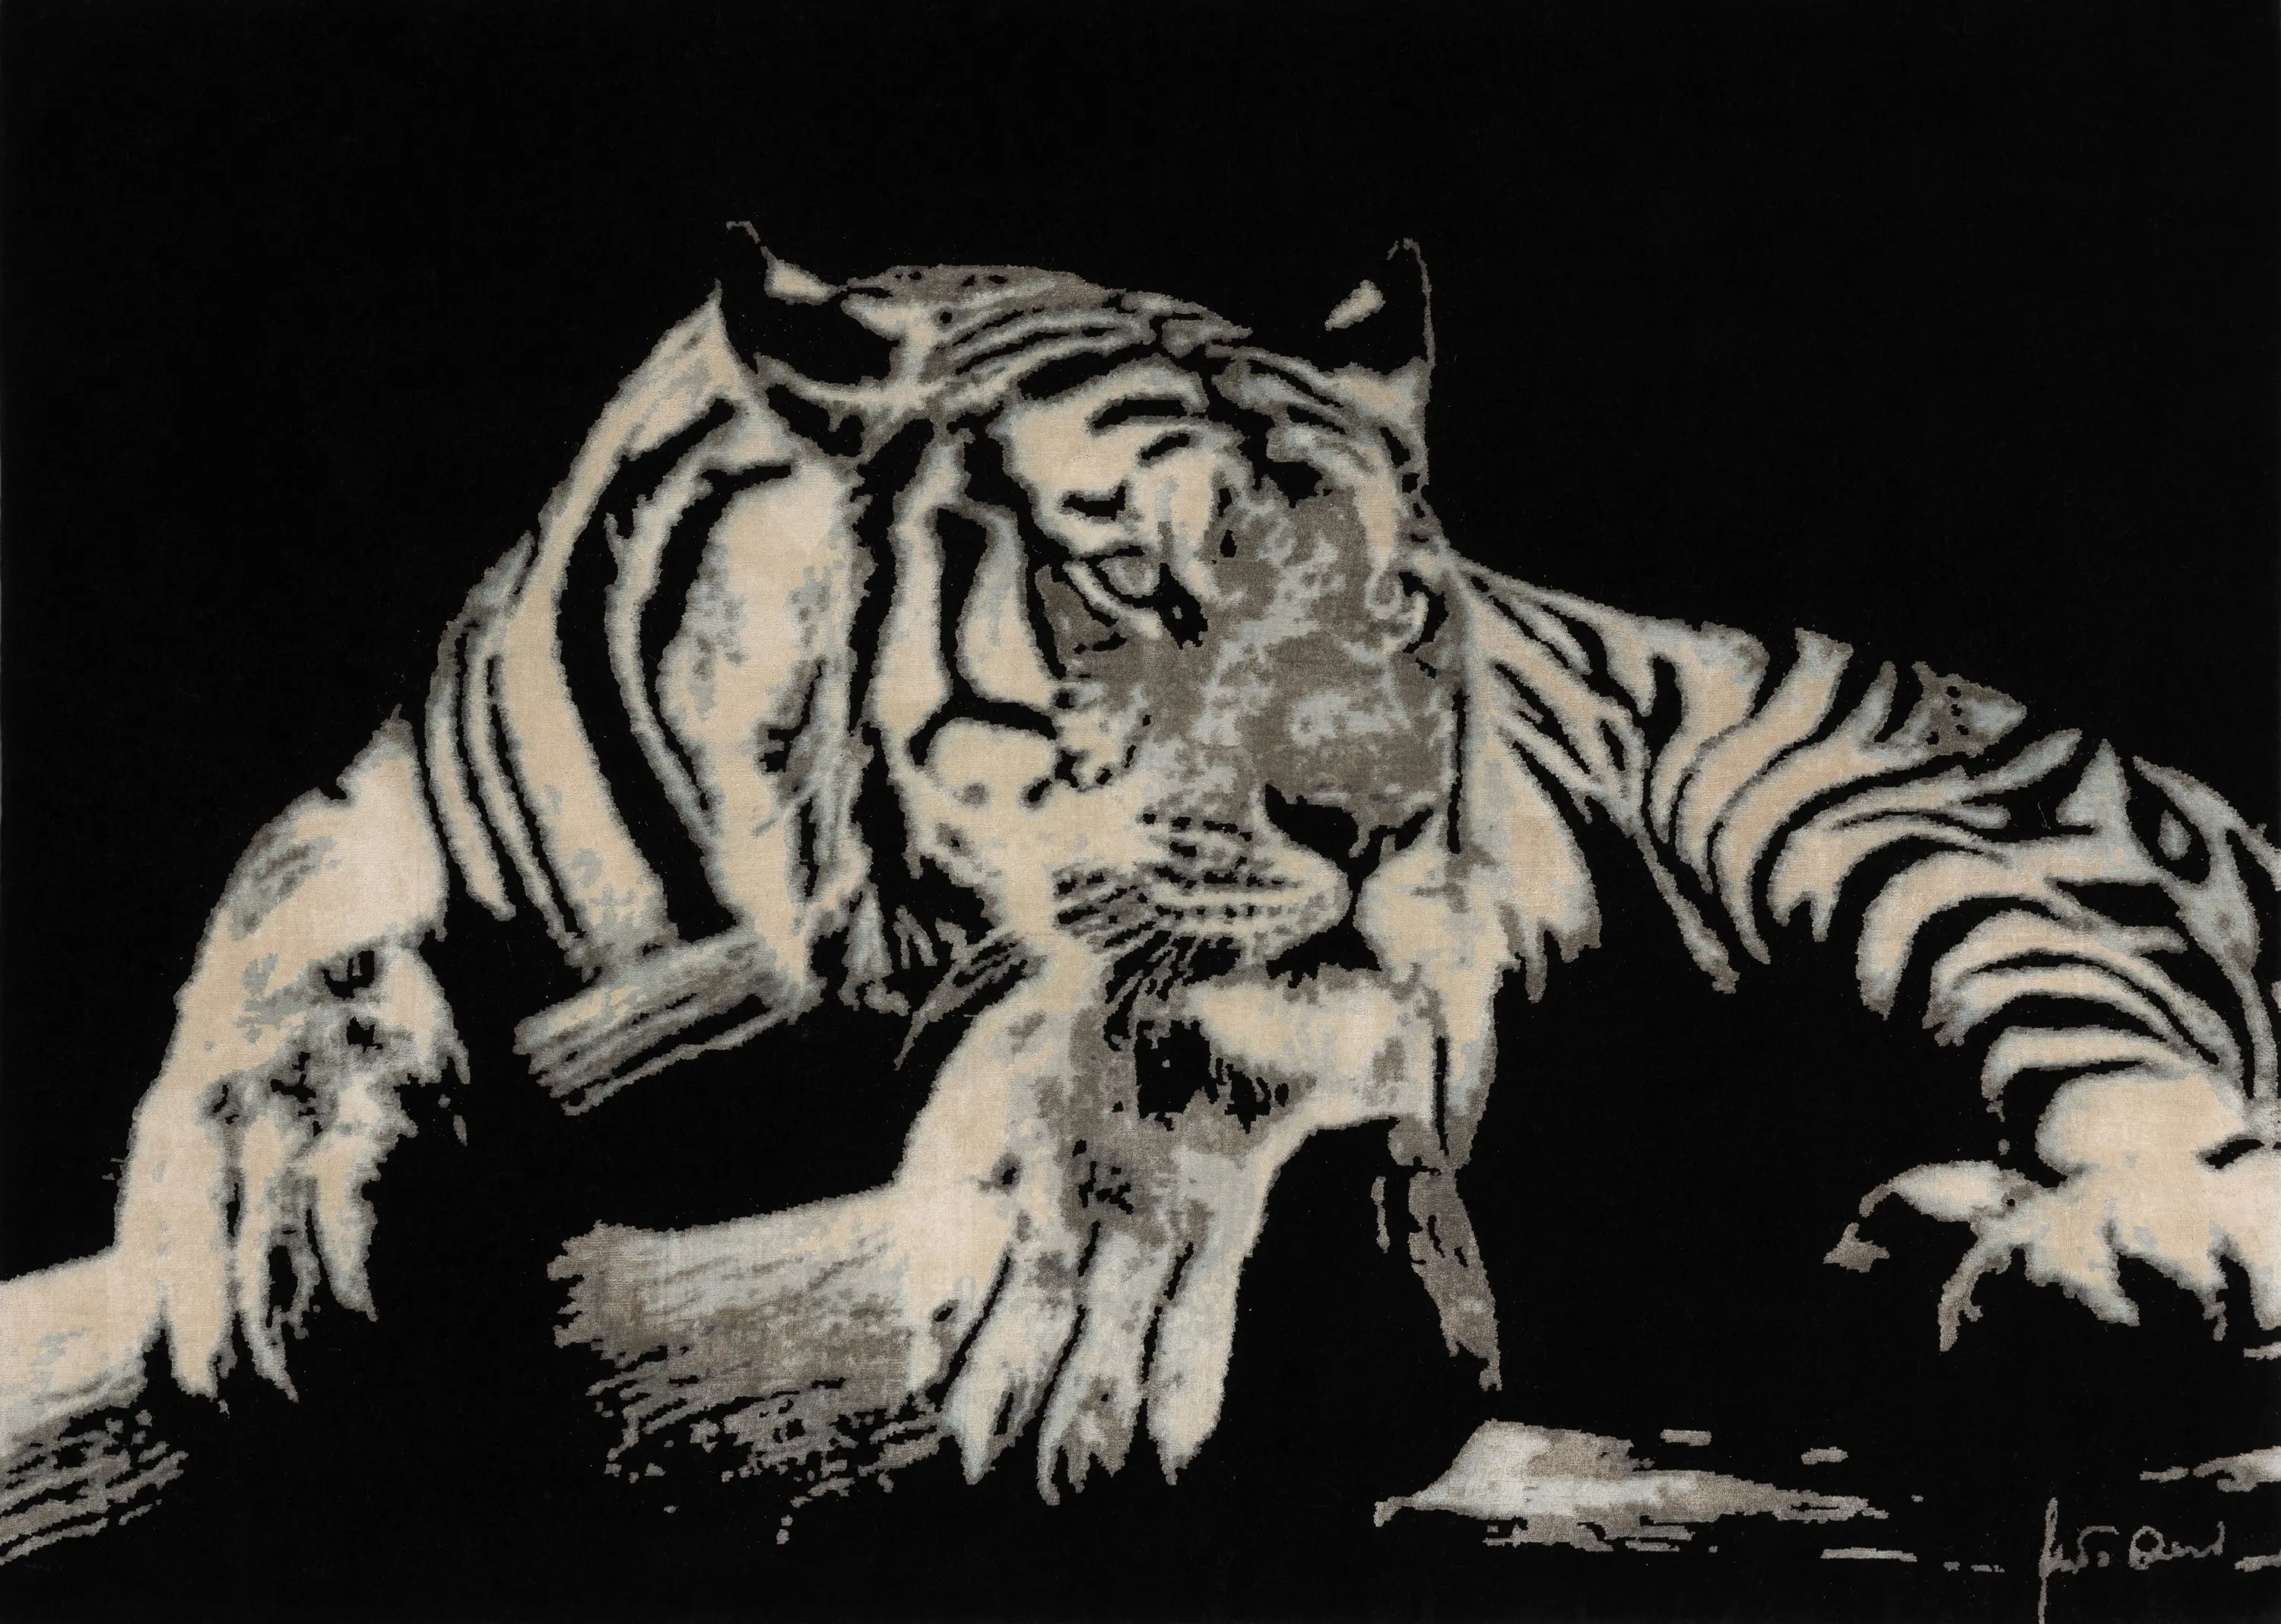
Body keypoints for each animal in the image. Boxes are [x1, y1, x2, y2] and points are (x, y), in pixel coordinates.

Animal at [1, 237, 2276, 1558]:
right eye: (1133, 582)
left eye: (1402, 606)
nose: (1385, 812)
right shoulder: (391, 790)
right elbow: (280, 932)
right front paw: (251, 1218)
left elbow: (1175, 1013)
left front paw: (1082, 1317)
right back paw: (1903, 1248)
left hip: (1895, 823)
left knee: (2201, 1147)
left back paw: (2066, 1269)